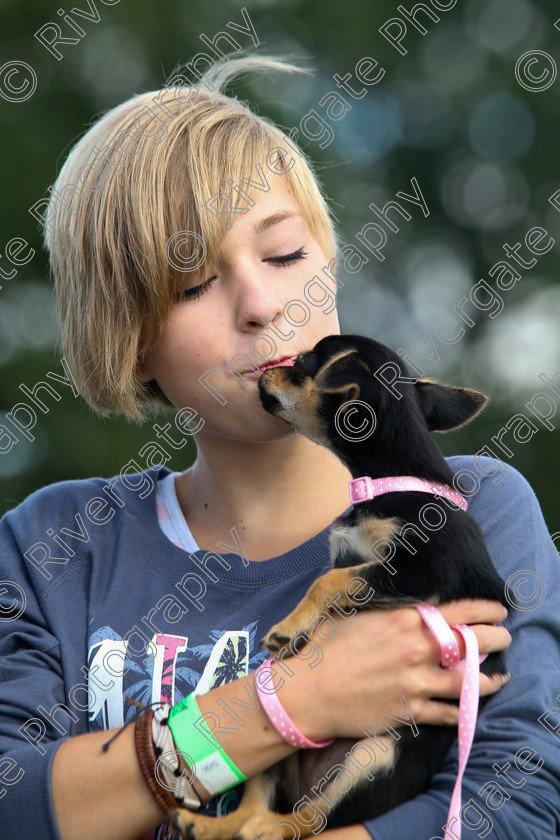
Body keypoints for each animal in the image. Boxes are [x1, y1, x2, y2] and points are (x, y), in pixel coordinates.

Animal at [171, 336, 508, 840]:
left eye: (304, 363)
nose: (273, 368)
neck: (386, 482)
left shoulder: (421, 571)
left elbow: (329, 581)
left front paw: (288, 628)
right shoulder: (358, 558)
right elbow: (335, 582)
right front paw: (301, 629)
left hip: (376, 756)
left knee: (307, 819)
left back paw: (266, 827)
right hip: (280, 742)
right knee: (254, 809)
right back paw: (207, 824)